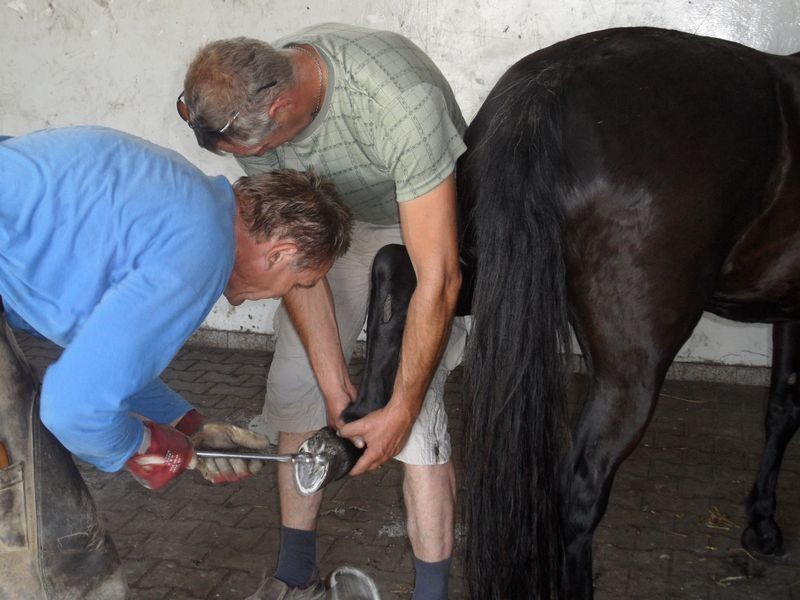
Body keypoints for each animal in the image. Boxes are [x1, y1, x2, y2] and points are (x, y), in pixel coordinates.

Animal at [320, 25, 800, 600]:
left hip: (486, 268)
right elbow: (788, 409)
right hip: (630, 371)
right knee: (579, 493)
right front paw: (766, 524)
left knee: (402, 267)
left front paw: (761, 520)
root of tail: (546, 90)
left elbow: (779, 407)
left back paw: (362, 418)